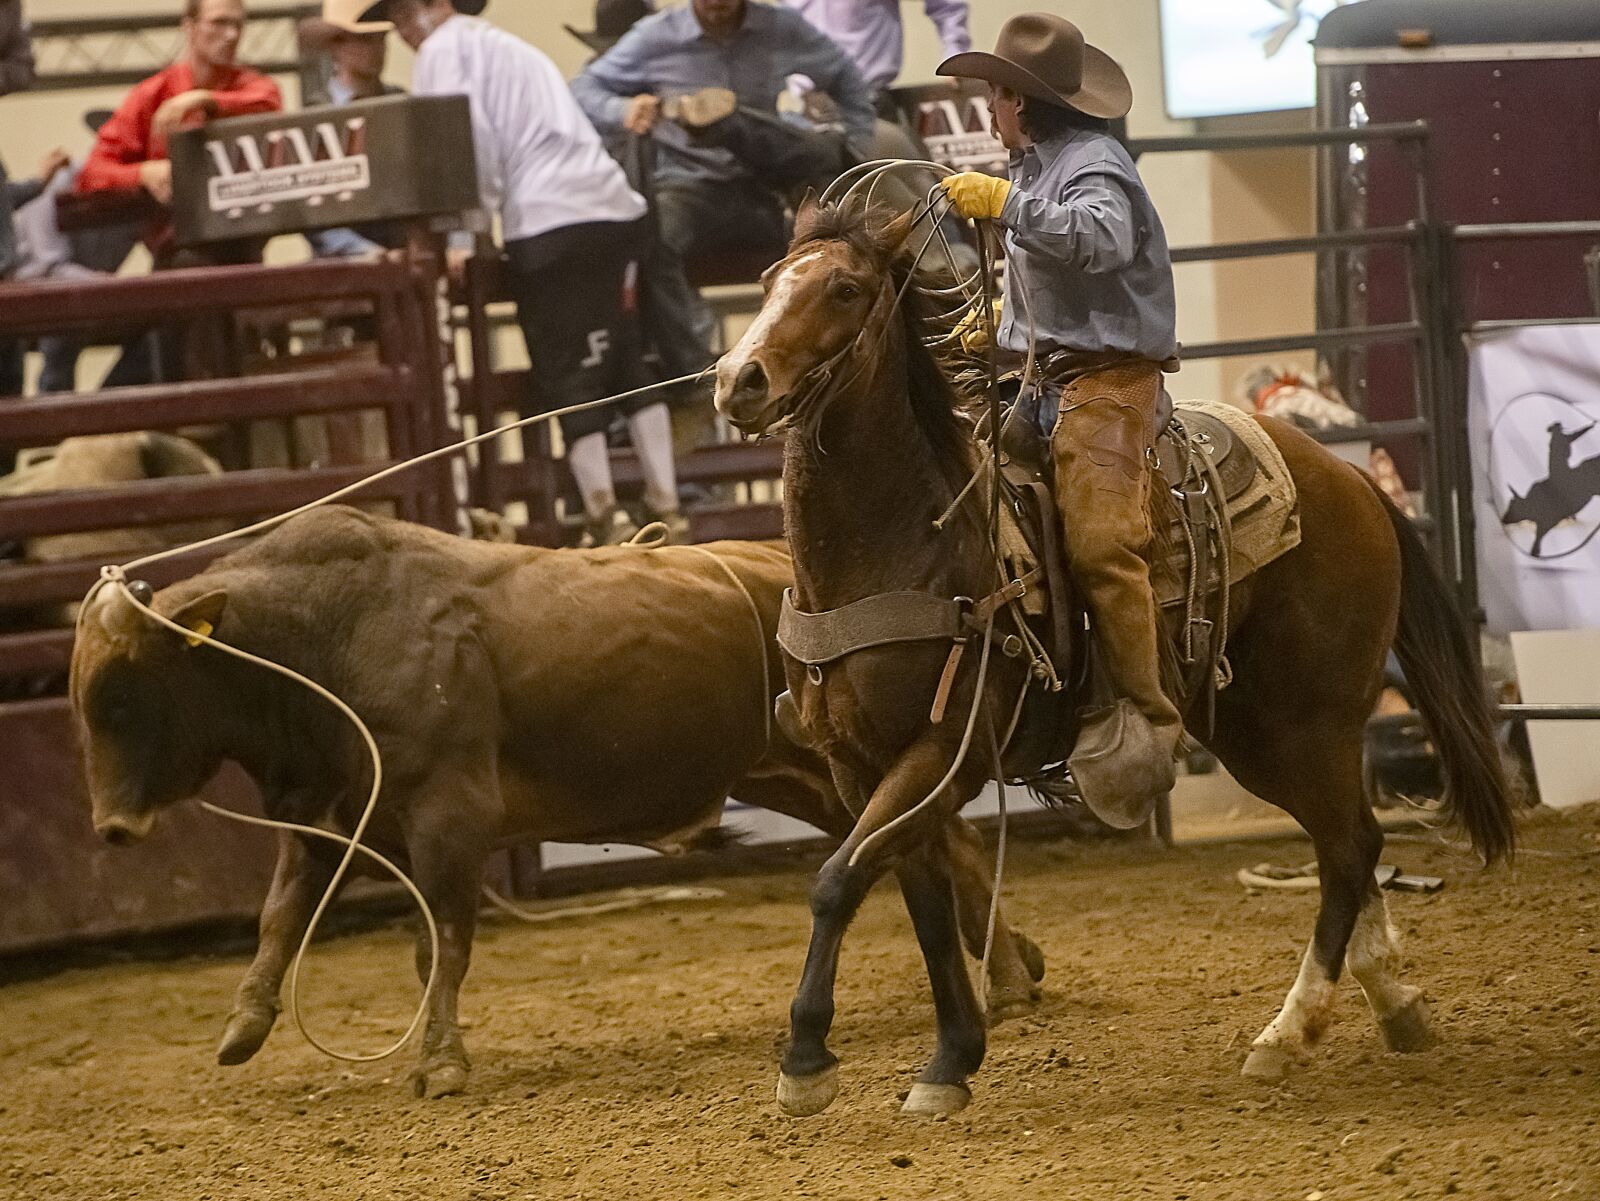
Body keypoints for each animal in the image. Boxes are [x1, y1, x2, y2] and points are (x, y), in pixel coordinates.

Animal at [713, 202, 1510, 1125]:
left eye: (844, 288)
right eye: (769, 280)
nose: (739, 379)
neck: (902, 542)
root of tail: (1351, 480)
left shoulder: (945, 749)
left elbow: (840, 879)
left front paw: (807, 1058)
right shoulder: (860, 763)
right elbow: (918, 900)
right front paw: (951, 1057)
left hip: (1304, 724)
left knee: (1348, 849)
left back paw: (1285, 1033)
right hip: (1257, 728)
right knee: (1352, 841)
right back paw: (1392, 1001)